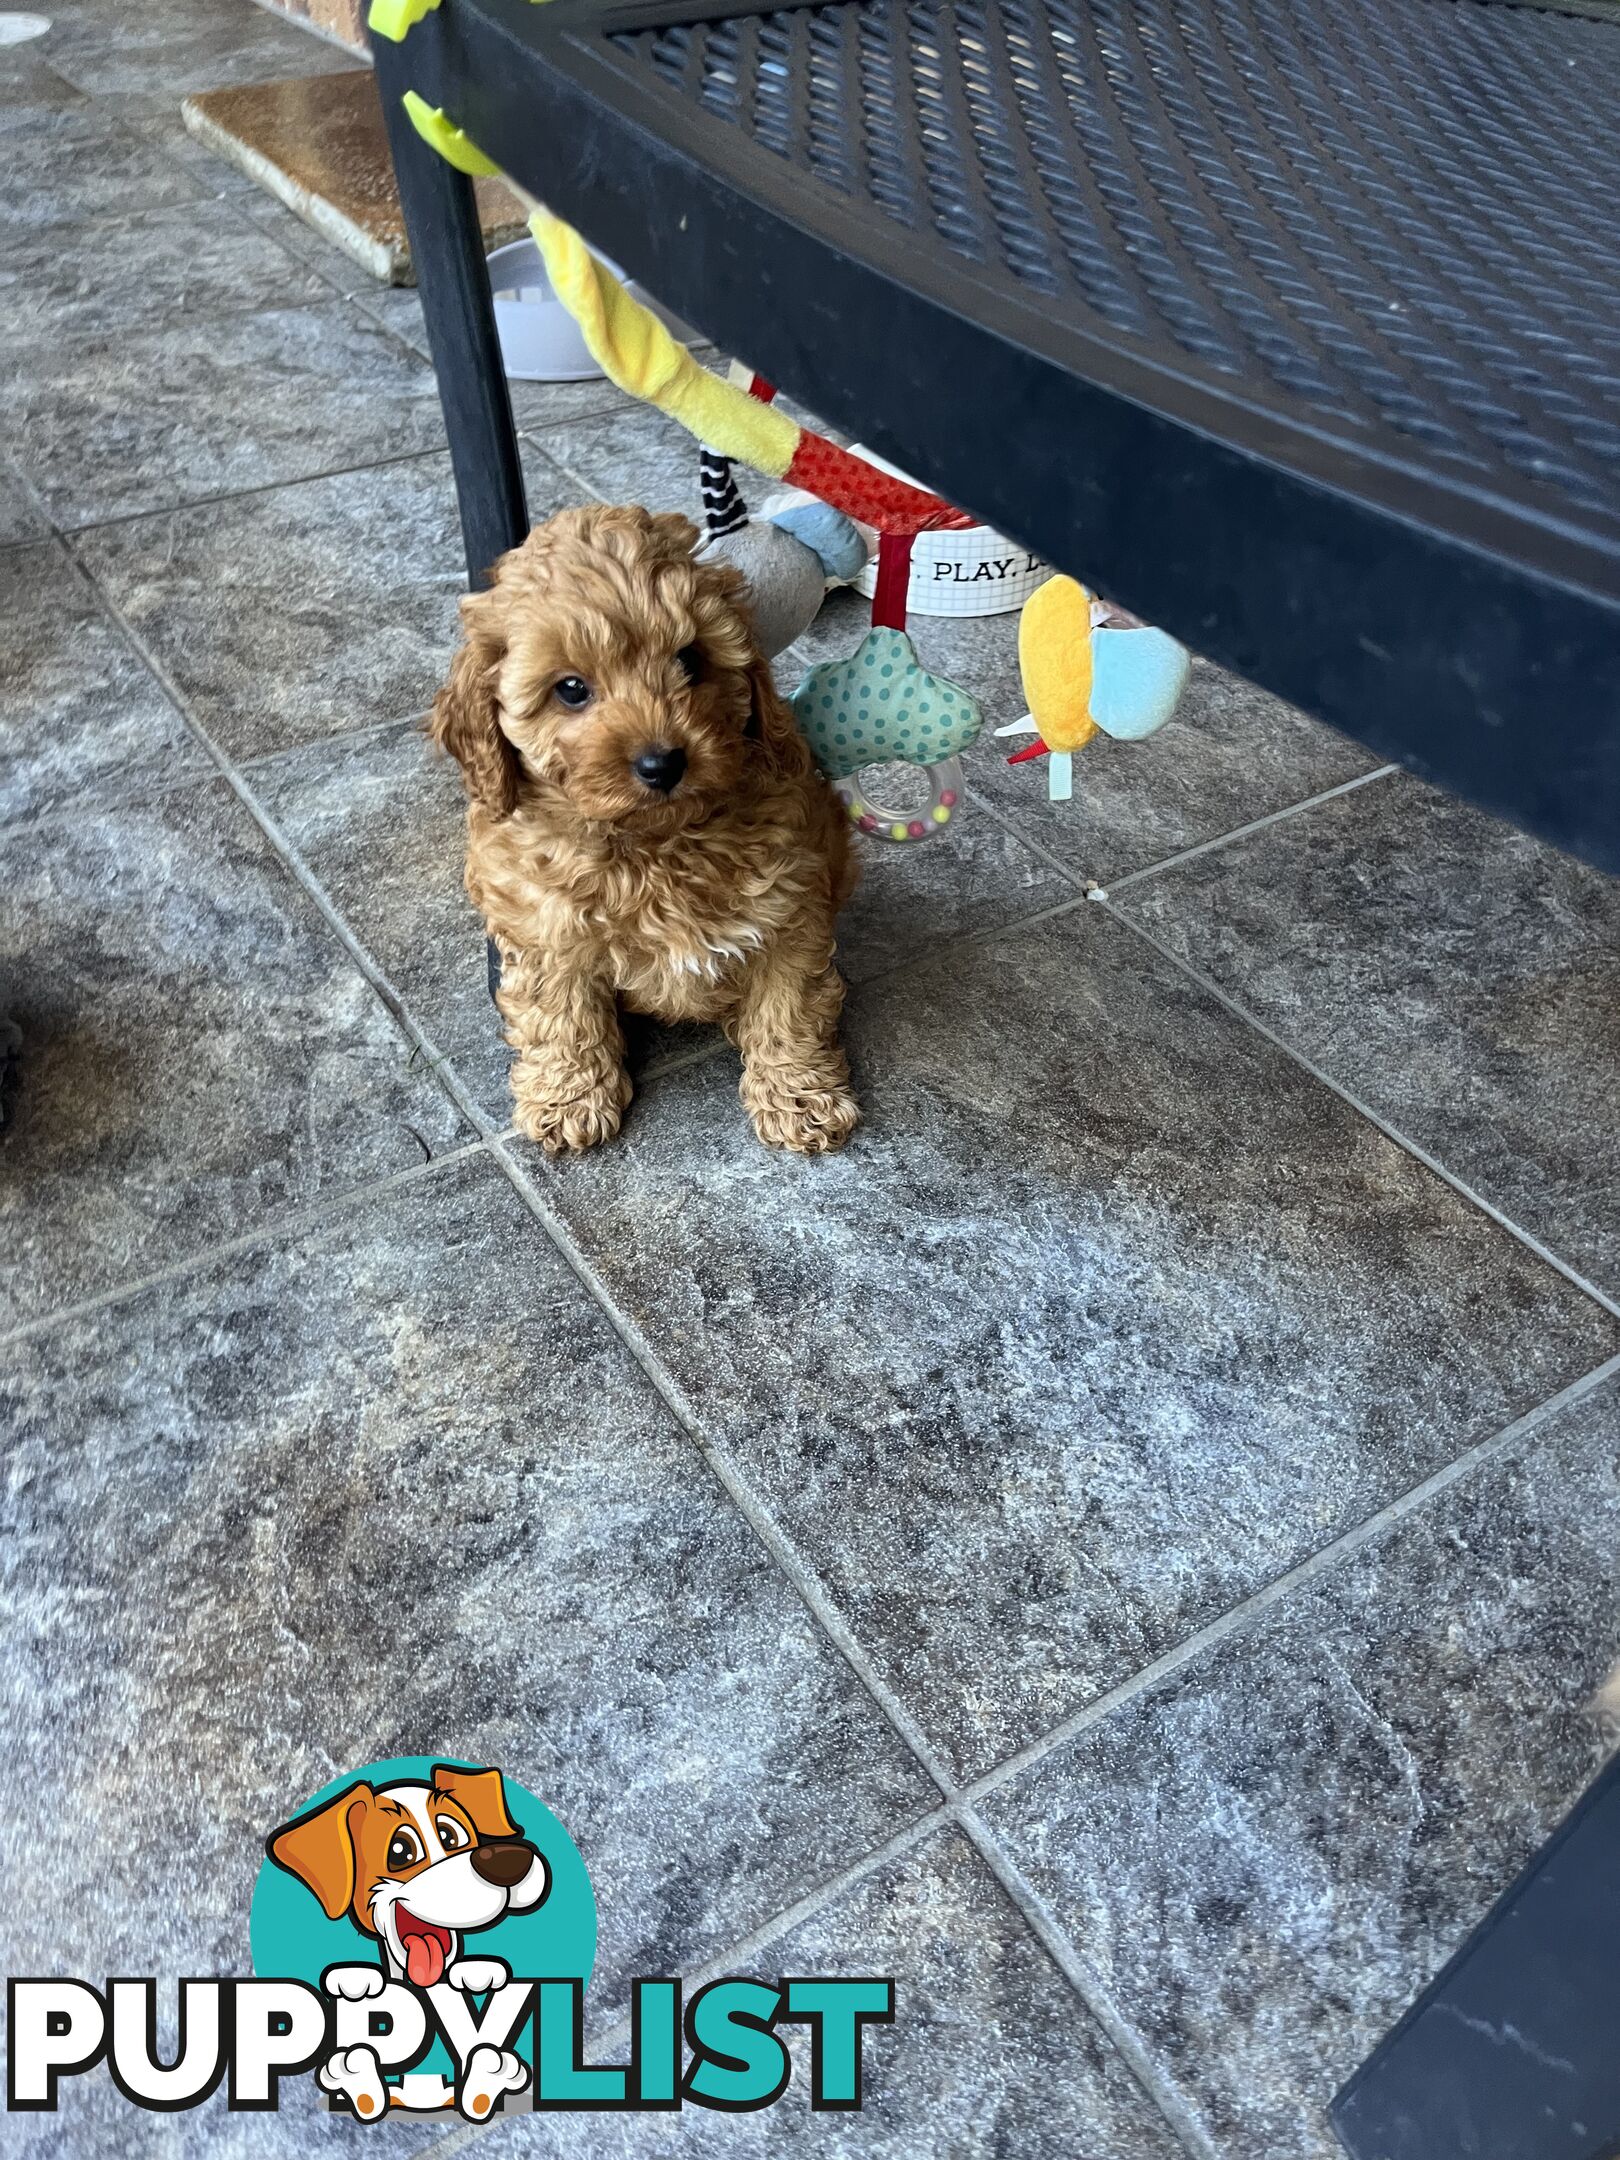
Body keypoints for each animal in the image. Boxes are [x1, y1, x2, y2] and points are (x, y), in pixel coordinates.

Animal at [432, 505, 864, 1157]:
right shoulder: (544, 928)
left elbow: (789, 1007)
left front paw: (799, 1096)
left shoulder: (793, 908)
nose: (663, 763)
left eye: (690, 660)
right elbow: (560, 1014)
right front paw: (569, 1098)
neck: (654, 845)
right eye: (570, 689)